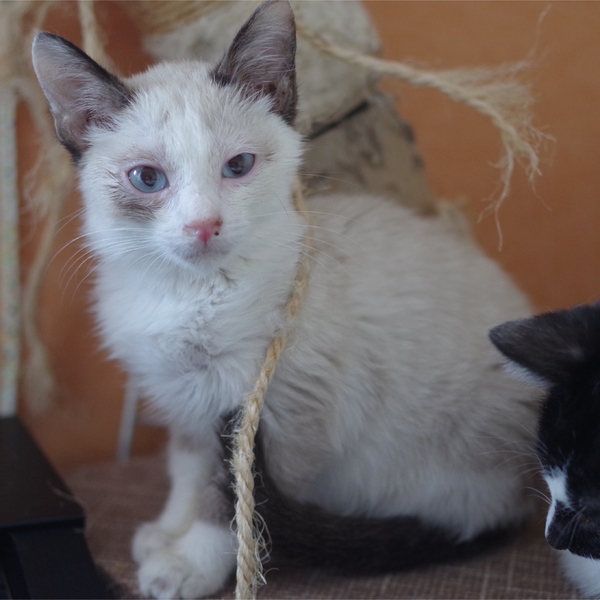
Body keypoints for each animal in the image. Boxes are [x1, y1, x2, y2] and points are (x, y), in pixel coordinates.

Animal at [33, 0, 540, 597]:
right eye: (147, 178)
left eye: (238, 166)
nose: (203, 225)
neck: (186, 294)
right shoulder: (183, 399)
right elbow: (187, 471)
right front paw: (166, 533)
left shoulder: (276, 413)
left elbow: (233, 506)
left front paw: (190, 564)